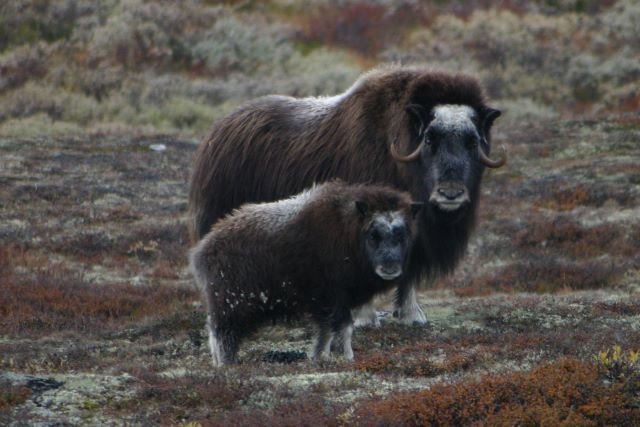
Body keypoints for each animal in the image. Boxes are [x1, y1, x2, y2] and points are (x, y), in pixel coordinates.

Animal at [188, 63, 508, 326]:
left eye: (472, 141)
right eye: (430, 138)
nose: (450, 193)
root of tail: (218, 130)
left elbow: (408, 274)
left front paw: (412, 316)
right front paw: (365, 318)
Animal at [188, 181, 422, 368]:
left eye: (401, 235)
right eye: (374, 235)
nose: (390, 268)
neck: (350, 234)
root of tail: (204, 248)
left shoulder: (331, 302)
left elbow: (327, 331)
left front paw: (319, 357)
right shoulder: (334, 297)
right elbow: (344, 327)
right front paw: (348, 358)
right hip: (230, 304)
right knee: (222, 334)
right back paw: (226, 365)